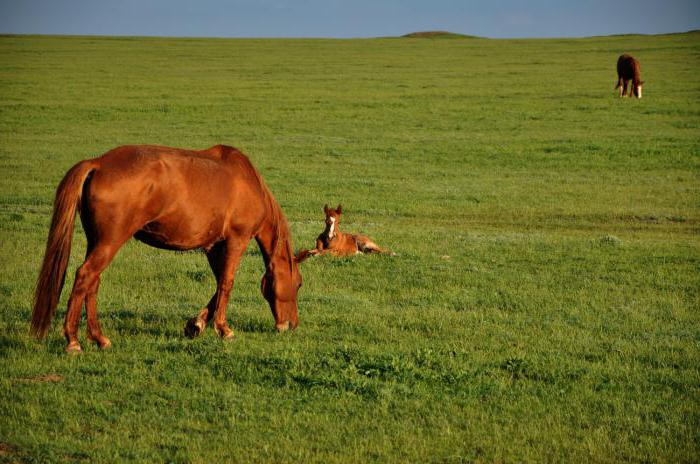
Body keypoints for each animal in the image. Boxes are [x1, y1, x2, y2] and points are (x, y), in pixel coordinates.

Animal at [32, 144, 306, 352]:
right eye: (298, 284)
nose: (291, 325)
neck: (247, 182)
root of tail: (98, 163)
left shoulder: (212, 246)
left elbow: (218, 285)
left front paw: (196, 324)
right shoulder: (236, 240)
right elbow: (227, 283)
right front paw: (223, 328)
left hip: (96, 241)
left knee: (92, 283)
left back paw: (99, 338)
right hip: (109, 242)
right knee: (84, 276)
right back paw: (73, 341)